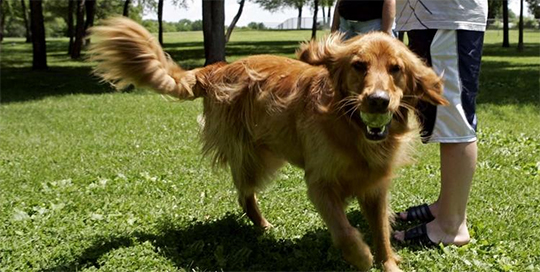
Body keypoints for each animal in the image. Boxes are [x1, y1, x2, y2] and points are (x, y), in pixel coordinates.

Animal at [88, 17, 448, 272]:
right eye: (359, 66)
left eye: (396, 69)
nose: (378, 100)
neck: (351, 129)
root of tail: (218, 67)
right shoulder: (320, 185)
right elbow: (344, 231)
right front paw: (360, 256)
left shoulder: (375, 187)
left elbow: (383, 233)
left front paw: (388, 263)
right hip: (256, 157)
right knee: (244, 194)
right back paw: (263, 226)